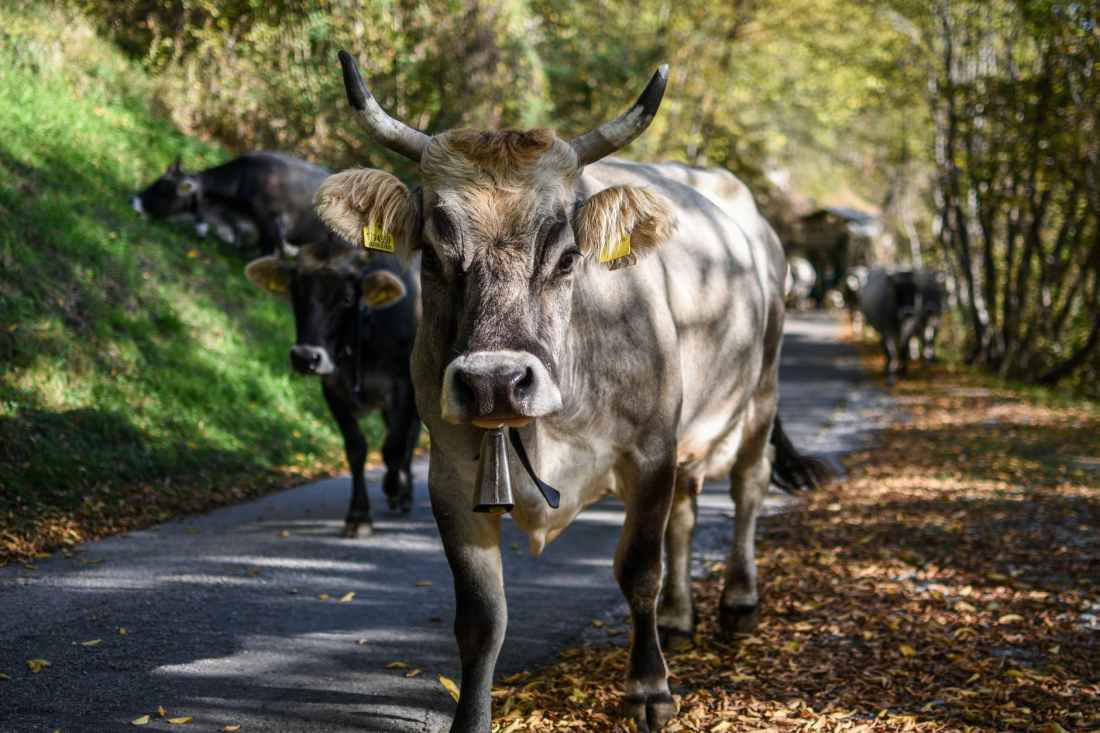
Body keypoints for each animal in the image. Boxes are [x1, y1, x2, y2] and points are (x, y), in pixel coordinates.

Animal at [244, 241, 422, 537]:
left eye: (347, 299)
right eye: (296, 294)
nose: (305, 357)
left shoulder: (405, 386)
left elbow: (394, 447)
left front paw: (393, 486)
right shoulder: (333, 388)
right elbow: (356, 449)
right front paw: (359, 516)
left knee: (410, 437)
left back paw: (403, 492)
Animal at [314, 51, 830, 732]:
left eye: (565, 257)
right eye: (431, 255)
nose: (494, 382)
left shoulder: (649, 451)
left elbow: (638, 570)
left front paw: (648, 690)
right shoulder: (450, 475)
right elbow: (481, 618)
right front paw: (471, 718)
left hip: (760, 390)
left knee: (749, 483)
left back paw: (737, 602)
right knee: (688, 511)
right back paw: (678, 616)